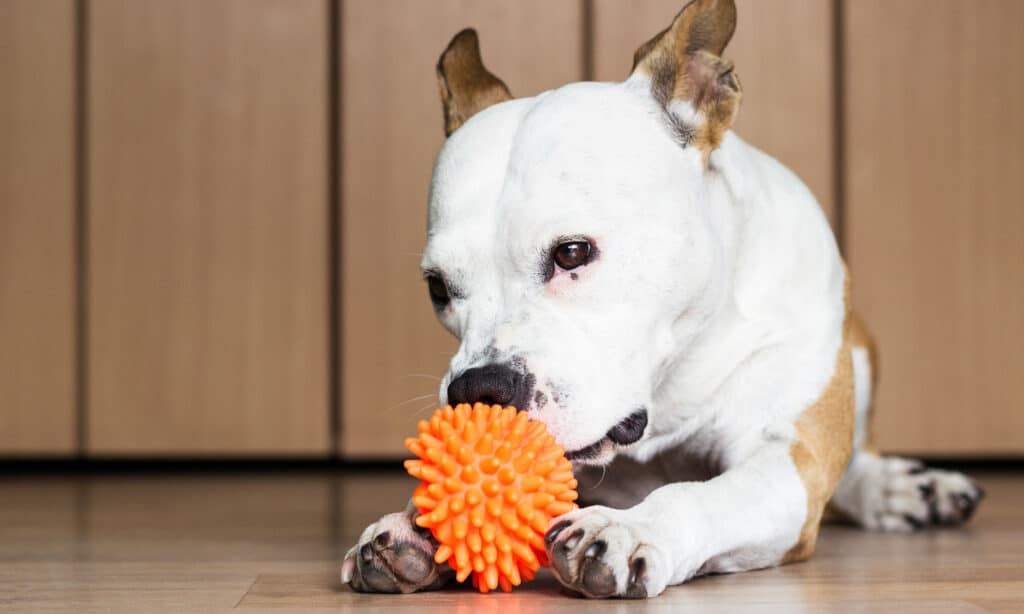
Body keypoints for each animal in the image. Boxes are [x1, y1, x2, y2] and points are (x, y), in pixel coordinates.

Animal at [342, 0, 983, 597]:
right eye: (437, 288)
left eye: (572, 253)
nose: (479, 389)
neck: (670, 381)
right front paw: (415, 524)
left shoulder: (785, 462)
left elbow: (705, 494)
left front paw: (629, 528)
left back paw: (901, 487)